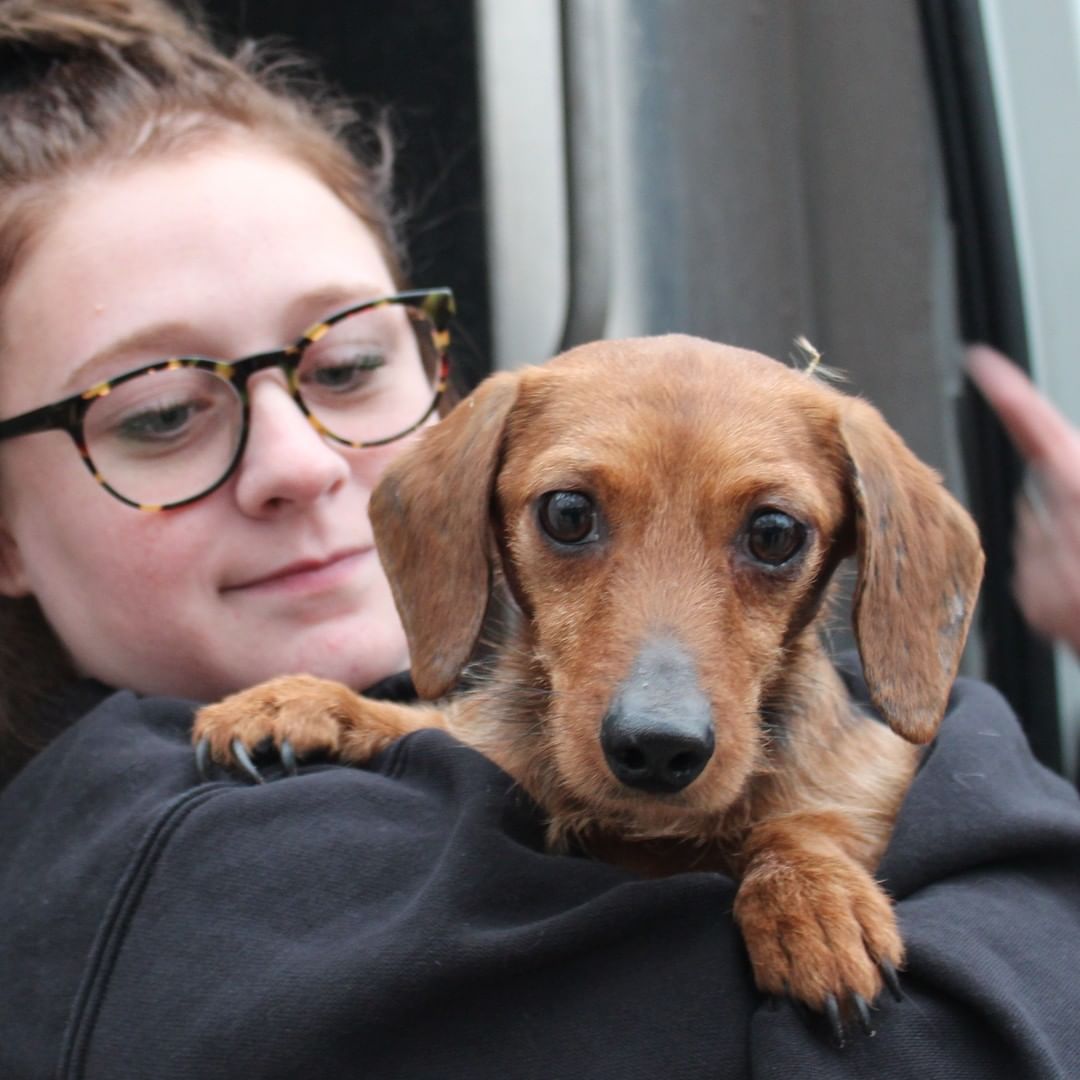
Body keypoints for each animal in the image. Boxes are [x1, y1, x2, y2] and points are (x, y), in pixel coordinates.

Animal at [196, 336, 989, 1036]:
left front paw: (813, 902)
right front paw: (299, 702)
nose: (659, 748)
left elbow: (805, 825)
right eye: (568, 512)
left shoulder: (869, 782)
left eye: (774, 532)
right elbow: (424, 722)